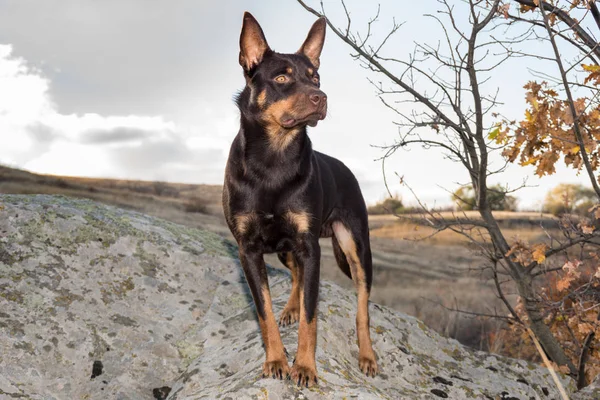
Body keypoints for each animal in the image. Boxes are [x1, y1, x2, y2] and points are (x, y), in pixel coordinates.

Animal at [223, 11, 378, 388]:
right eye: (281, 77)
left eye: (315, 77)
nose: (321, 96)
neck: (274, 160)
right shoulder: (249, 250)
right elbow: (264, 312)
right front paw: (277, 359)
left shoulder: (310, 248)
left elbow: (312, 315)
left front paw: (305, 366)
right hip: (284, 247)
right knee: (294, 276)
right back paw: (290, 307)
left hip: (356, 248)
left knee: (363, 306)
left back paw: (367, 355)